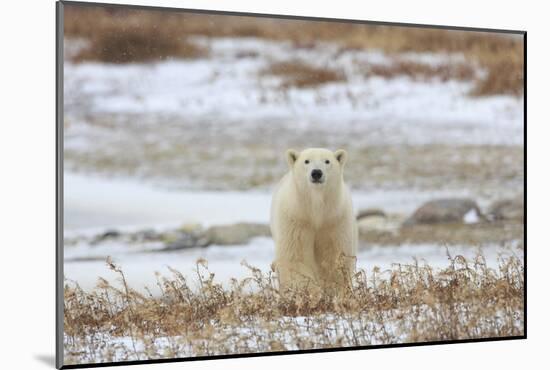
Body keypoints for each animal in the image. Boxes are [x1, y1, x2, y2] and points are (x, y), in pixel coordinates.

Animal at [270, 147, 358, 290]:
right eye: (307, 161)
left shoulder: (335, 220)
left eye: (327, 161)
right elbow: (297, 259)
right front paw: (310, 291)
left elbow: (334, 258)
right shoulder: (296, 220)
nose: (316, 173)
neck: (315, 212)